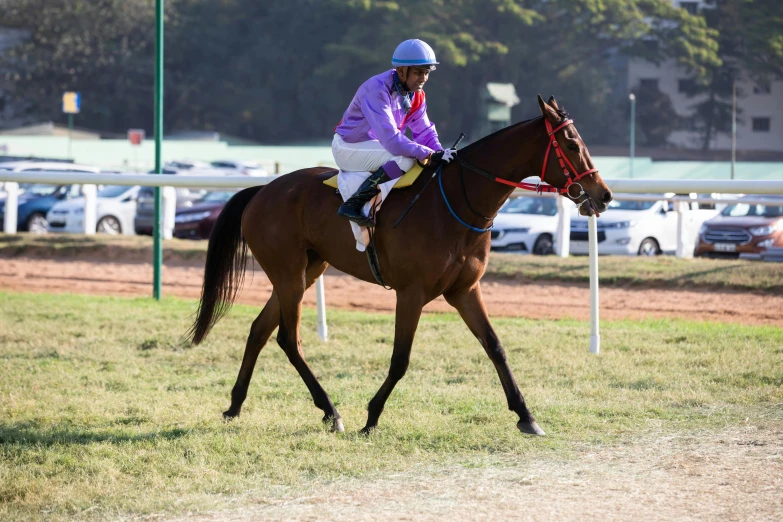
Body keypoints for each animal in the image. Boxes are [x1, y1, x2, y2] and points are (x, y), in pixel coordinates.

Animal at [190, 95, 612, 432]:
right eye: (571, 143)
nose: (603, 194)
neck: (457, 203)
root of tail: (263, 189)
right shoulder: (411, 293)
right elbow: (400, 359)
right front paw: (372, 416)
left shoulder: (464, 290)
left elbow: (495, 346)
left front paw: (526, 415)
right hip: (289, 272)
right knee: (287, 339)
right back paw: (331, 411)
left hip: (306, 271)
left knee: (260, 330)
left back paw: (235, 405)